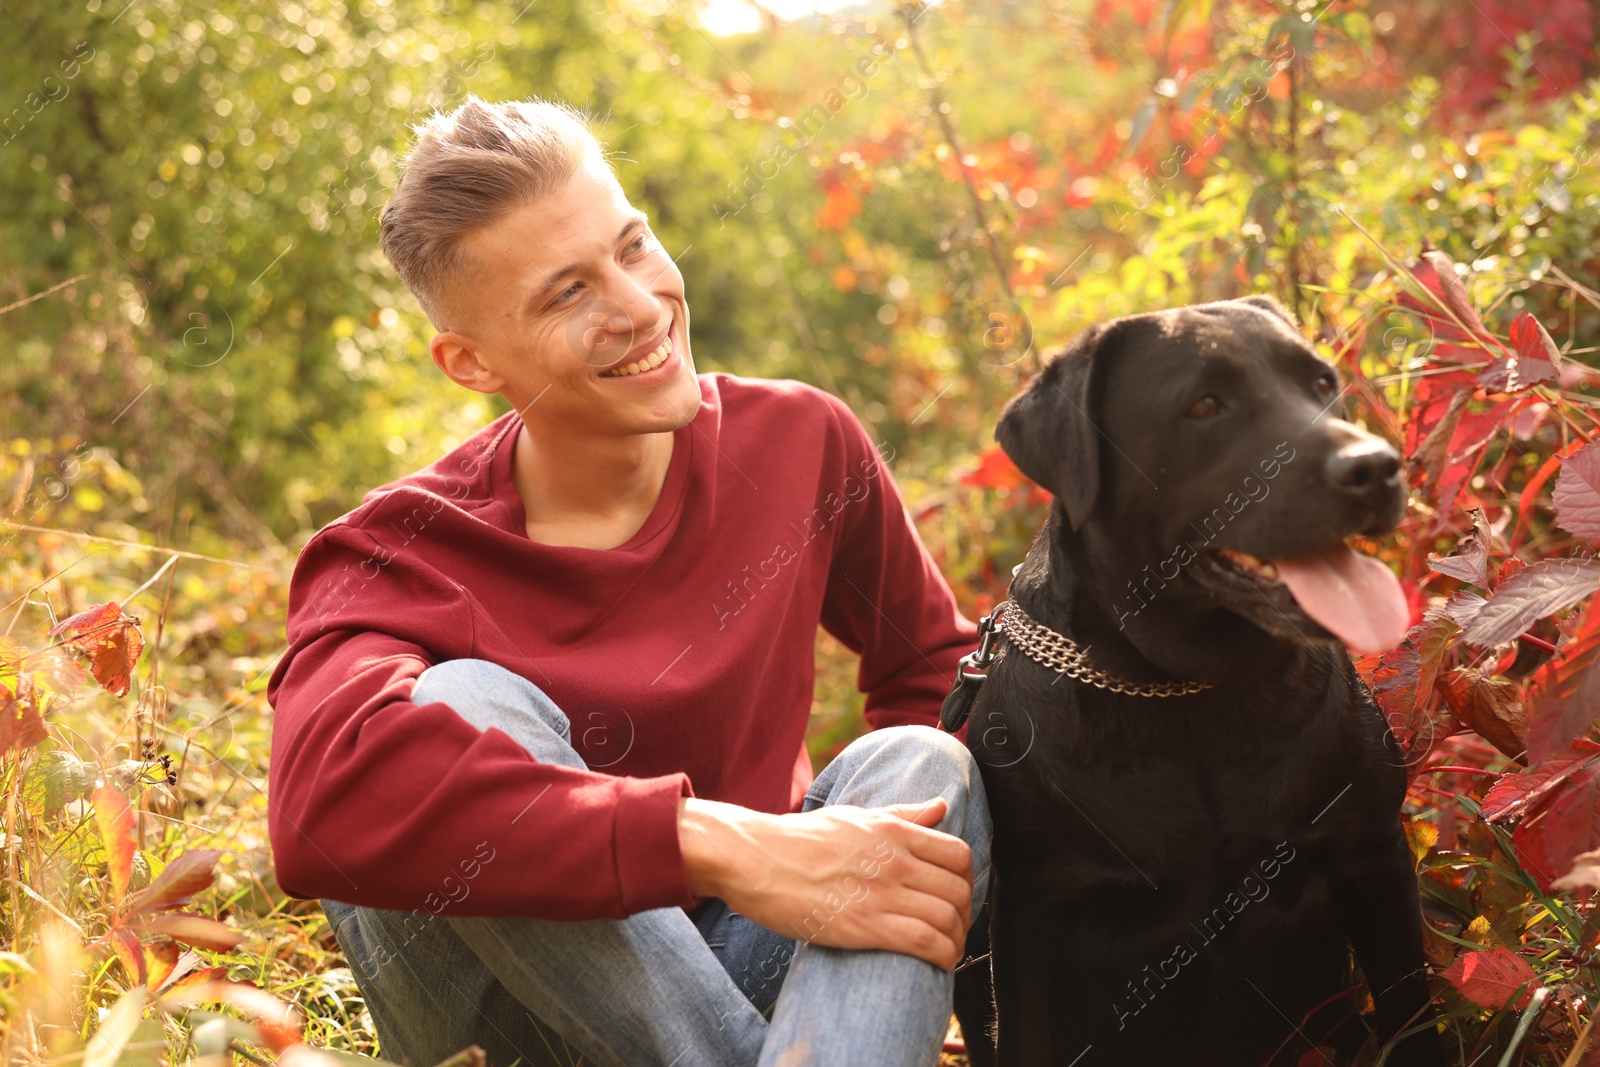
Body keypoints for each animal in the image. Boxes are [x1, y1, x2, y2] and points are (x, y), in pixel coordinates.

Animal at [953, 299, 1446, 1067]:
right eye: (1205, 405)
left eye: (1321, 381)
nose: (1376, 467)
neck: (1187, 696)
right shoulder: (1034, 920)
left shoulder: (1373, 852)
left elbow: (1411, 1014)